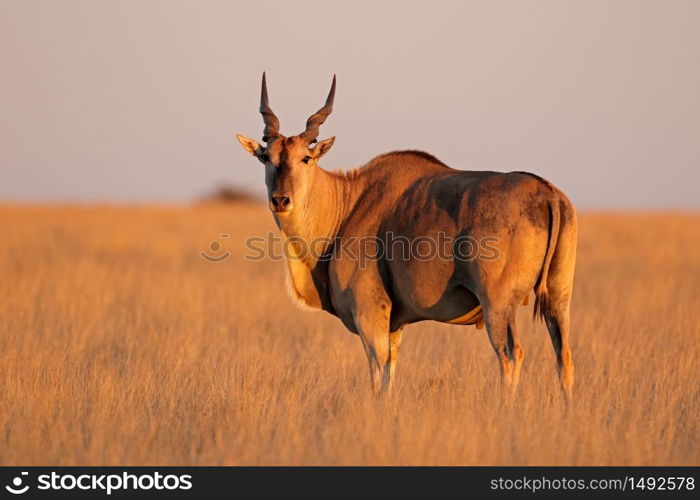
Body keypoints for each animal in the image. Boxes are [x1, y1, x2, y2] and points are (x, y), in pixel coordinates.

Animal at [235, 74, 576, 400]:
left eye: (305, 159)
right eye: (266, 158)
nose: (281, 200)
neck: (348, 203)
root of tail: (547, 193)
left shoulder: (370, 314)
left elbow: (377, 374)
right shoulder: (395, 325)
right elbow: (390, 373)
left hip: (498, 304)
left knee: (511, 355)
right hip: (557, 300)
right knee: (565, 358)